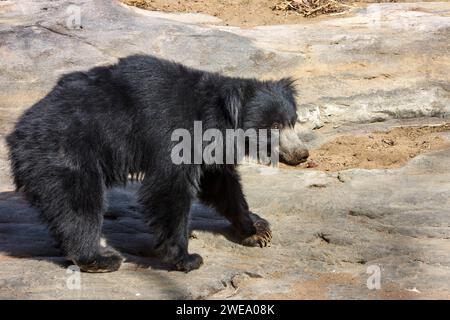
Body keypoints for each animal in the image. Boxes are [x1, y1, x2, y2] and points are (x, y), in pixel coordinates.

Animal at [6, 54, 310, 272]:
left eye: (292, 122)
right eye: (273, 126)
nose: (301, 154)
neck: (216, 117)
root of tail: (17, 134)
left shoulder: (208, 148)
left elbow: (221, 183)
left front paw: (256, 229)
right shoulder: (174, 133)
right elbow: (170, 188)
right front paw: (186, 258)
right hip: (64, 154)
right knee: (79, 205)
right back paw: (98, 258)